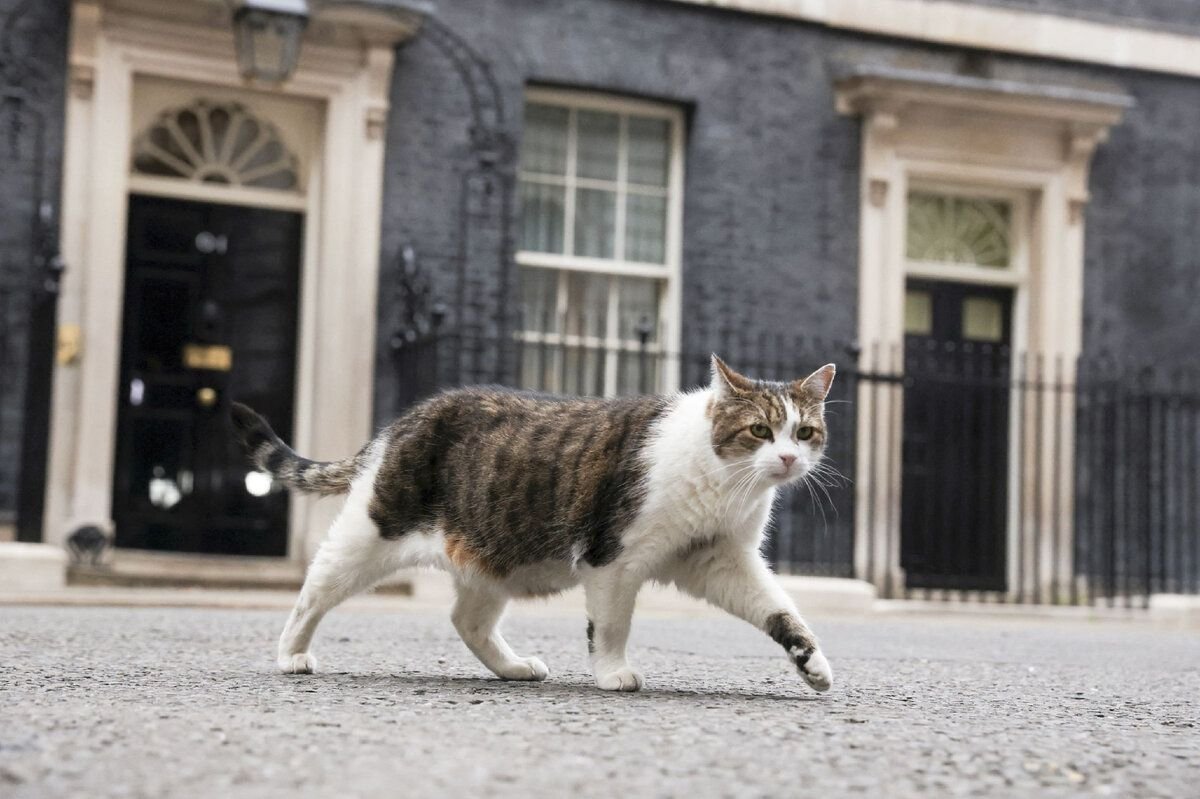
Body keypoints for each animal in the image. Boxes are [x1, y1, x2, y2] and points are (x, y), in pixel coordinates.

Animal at [231, 355, 835, 691]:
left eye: (804, 432)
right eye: (760, 430)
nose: (788, 459)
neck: (725, 486)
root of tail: (402, 423)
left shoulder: (720, 560)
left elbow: (781, 611)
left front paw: (812, 664)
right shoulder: (614, 560)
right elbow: (611, 626)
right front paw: (612, 673)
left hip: (492, 556)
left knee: (467, 619)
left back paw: (513, 668)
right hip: (370, 535)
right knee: (314, 589)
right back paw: (291, 654)